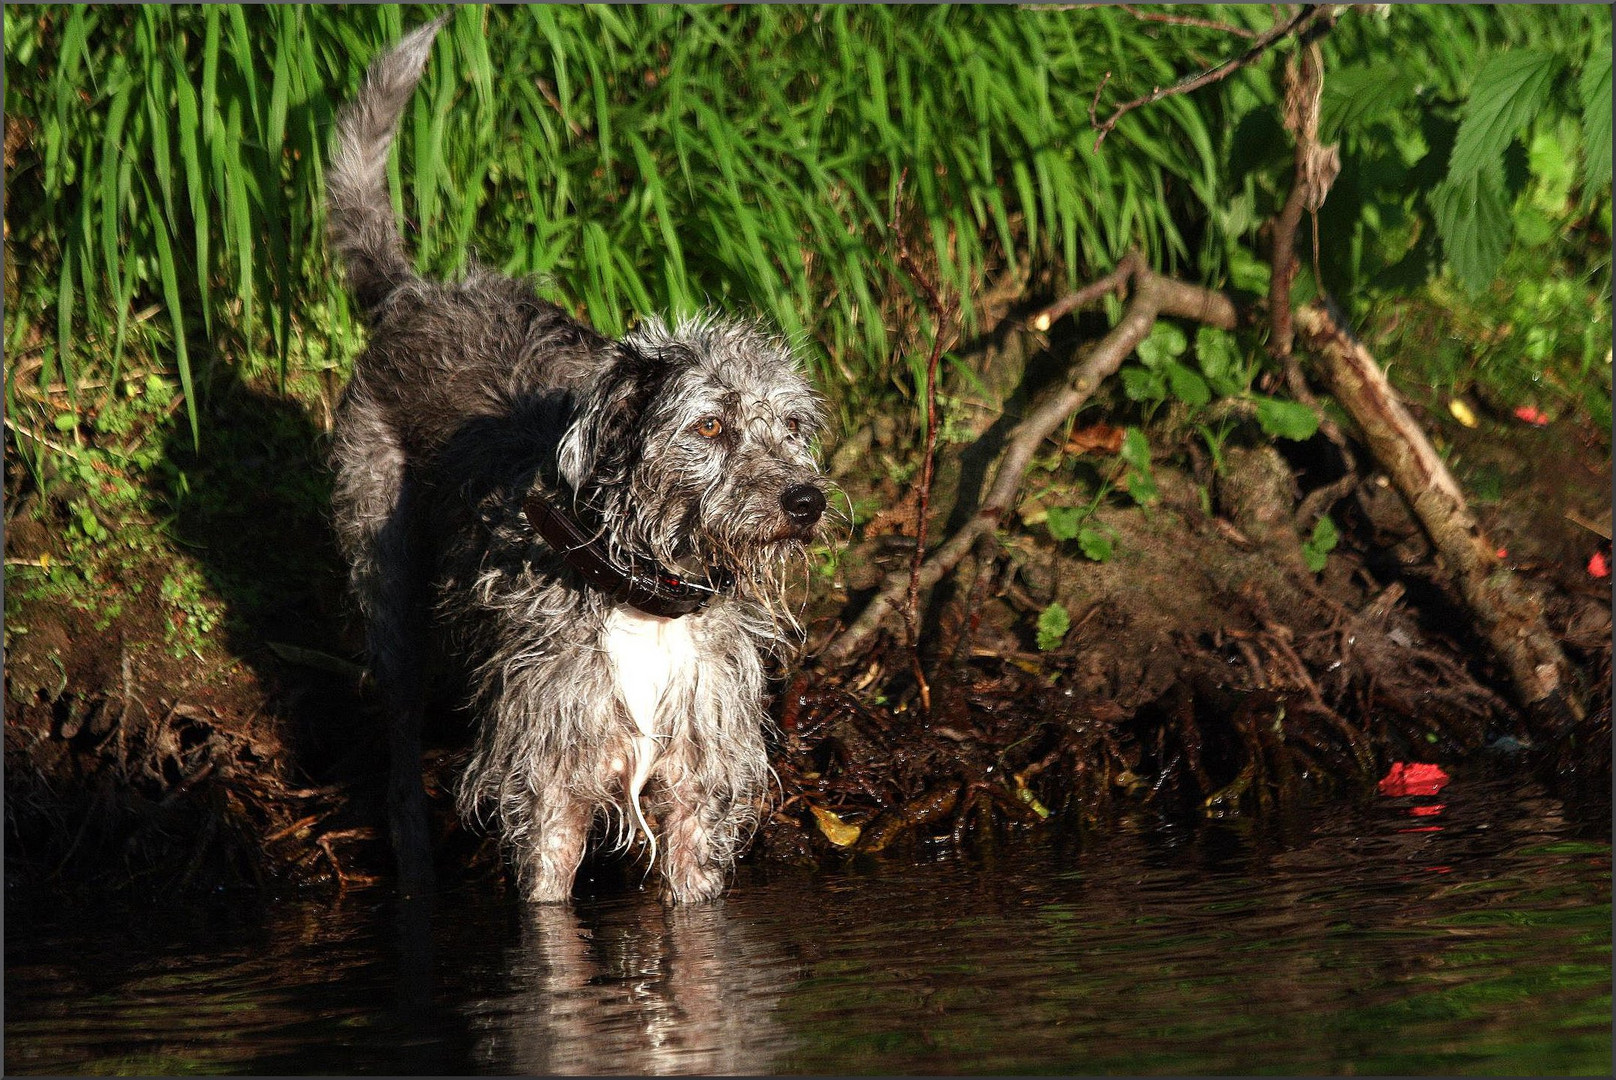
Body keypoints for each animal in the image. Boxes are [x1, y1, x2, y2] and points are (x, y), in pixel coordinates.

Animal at [329, 21, 833, 905]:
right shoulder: (548, 791)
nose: (808, 500)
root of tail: (415, 296)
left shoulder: (698, 795)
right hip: (385, 585)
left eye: (794, 425)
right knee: (396, 745)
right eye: (710, 425)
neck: (650, 605)